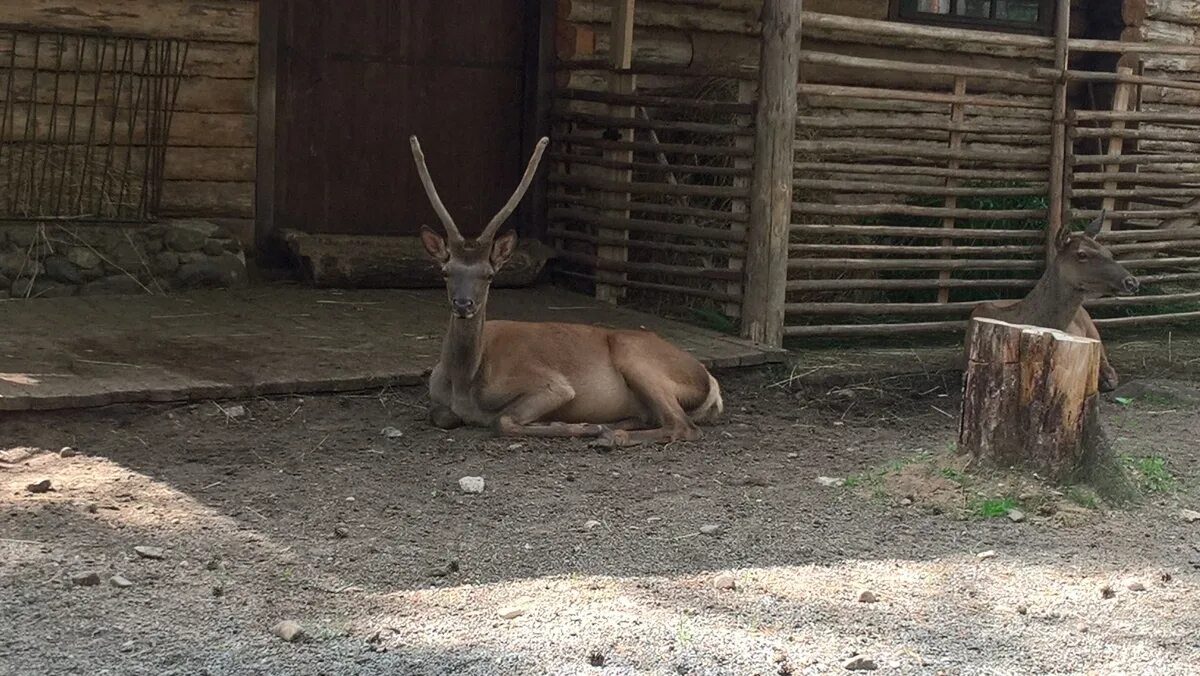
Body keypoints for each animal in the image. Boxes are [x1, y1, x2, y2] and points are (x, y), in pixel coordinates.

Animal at [408, 135, 720, 446]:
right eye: (446, 271)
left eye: (489, 275)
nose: (463, 304)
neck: (463, 384)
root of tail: (711, 383)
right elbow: (441, 416)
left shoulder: (553, 385)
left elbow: (502, 420)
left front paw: (579, 426)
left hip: (637, 357)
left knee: (683, 425)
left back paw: (609, 436)